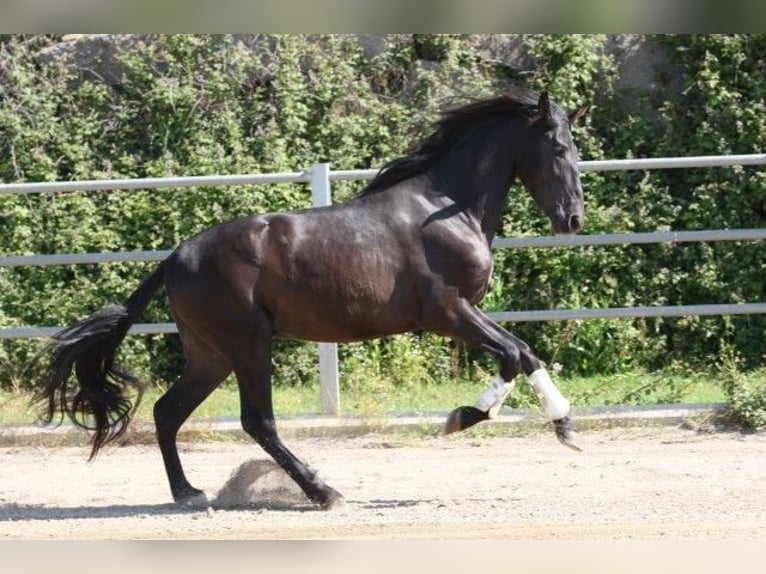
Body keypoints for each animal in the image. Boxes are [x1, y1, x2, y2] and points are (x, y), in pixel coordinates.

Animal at [34, 88, 588, 510]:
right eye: (560, 148)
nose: (573, 219)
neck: (446, 209)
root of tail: (174, 258)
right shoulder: (449, 312)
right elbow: (513, 354)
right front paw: (462, 418)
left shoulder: (466, 313)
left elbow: (525, 353)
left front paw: (566, 428)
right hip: (248, 343)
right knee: (256, 420)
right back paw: (323, 492)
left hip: (210, 353)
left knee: (168, 412)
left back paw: (189, 493)